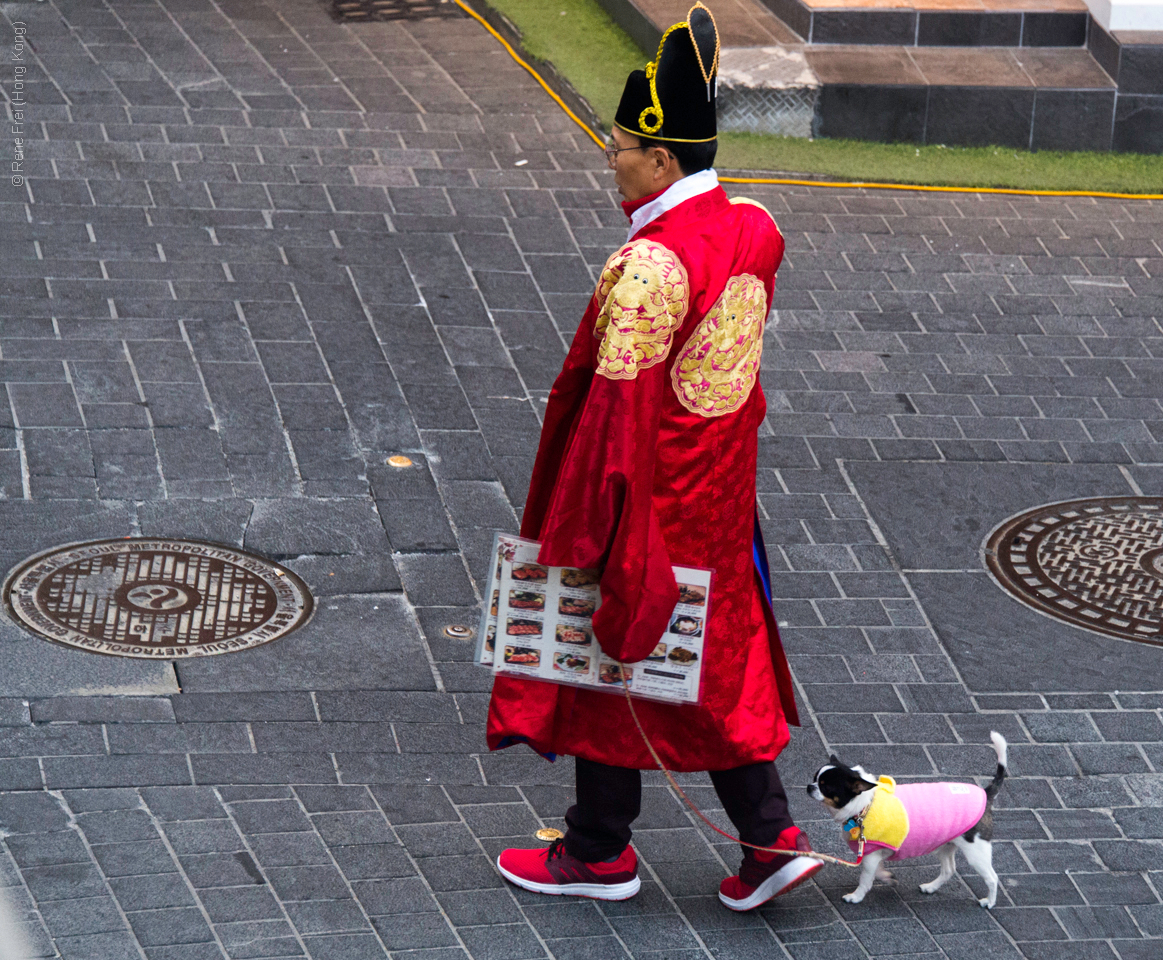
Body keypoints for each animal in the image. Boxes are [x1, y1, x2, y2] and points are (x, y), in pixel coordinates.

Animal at [809, 735, 1009, 907]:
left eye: (826, 787)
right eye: (814, 778)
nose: (809, 786)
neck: (865, 804)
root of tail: (986, 794)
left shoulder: (870, 856)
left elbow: (865, 879)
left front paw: (856, 896)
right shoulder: (873, 854)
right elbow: (879, 871)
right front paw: (887, 877)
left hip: (976, 852)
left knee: (992, 878)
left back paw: (989, 902)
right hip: (945, 845)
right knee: (948, 870)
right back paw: (931, 887)